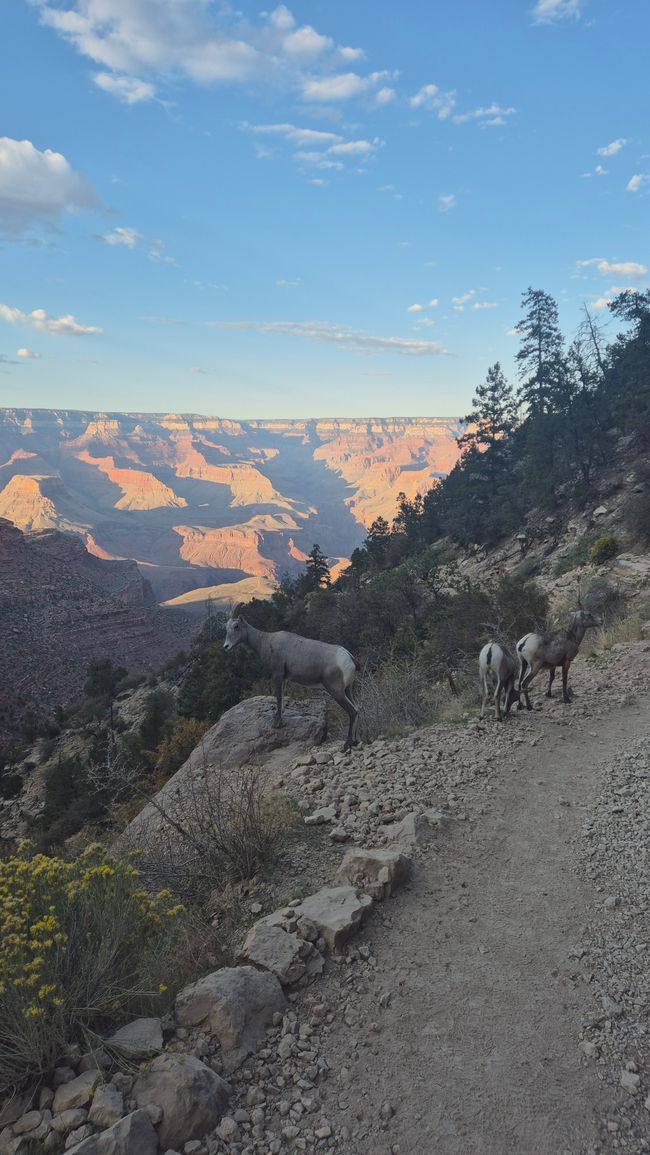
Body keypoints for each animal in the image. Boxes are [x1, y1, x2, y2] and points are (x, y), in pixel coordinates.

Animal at [223, 600, 360, 753]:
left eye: (236, 626)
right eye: (226, 627)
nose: (226, 646)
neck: (266, 641)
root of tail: (349, 657)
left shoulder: (277, 675)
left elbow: (278, 698)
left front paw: (277, 724)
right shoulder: (284, 678)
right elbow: (282, 698)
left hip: (336, 692)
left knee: (352, 712)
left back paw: (346, 745)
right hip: (347, 690)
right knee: (357, 708)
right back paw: (355, 742)